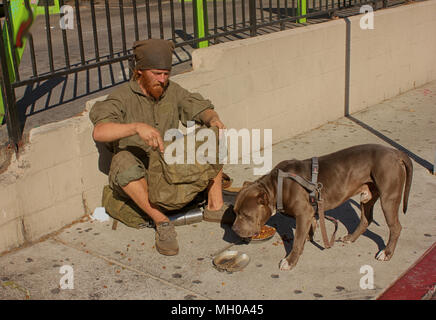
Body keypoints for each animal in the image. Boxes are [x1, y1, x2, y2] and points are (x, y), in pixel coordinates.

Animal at [232, 144, 412, 270]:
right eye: (235, 212)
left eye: (246, 215)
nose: (234, 229)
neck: (276, 186)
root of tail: (395, 152)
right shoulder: (309, 213)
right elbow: (306, 231)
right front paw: (307, 240)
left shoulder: (303, 214)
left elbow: (297, 240)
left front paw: (290, 261)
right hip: (367, 195)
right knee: (366, 219)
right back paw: (350, 238)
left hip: (388, 198)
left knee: (396, 227)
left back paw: (386, 253)